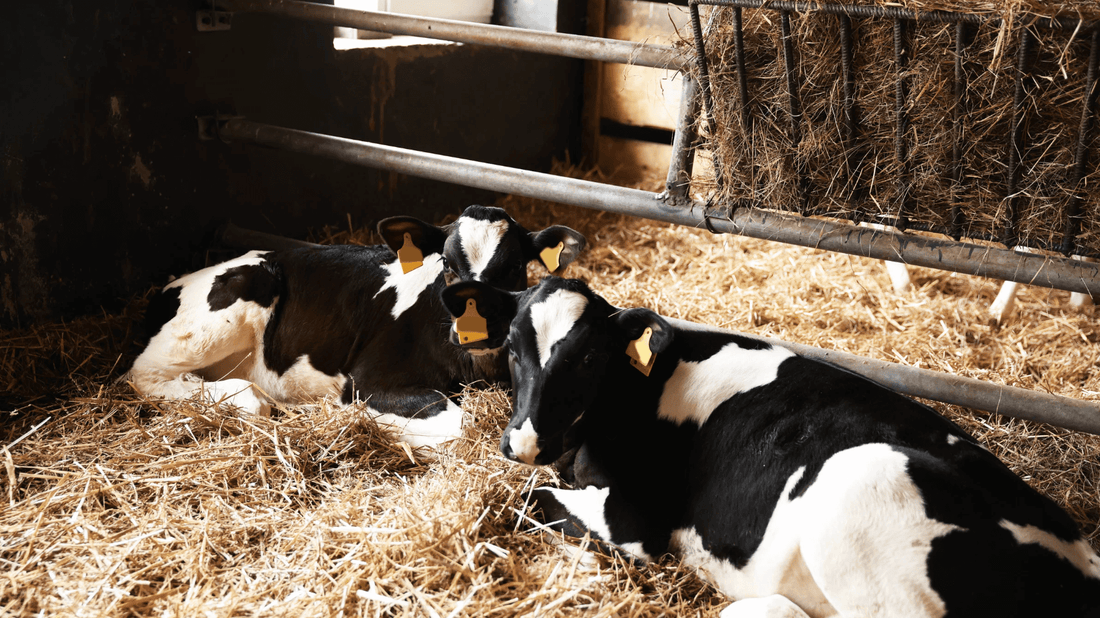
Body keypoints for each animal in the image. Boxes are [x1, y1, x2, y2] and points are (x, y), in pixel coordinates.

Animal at [126, 205, 586, 448]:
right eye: (448, 265)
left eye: (512, 267)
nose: (473, 331)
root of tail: (172, 284)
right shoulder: (368, 380)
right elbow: (460, 424)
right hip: (238, 298)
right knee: (146, 374)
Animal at [441, 276, 1100, 617]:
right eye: (513, 348)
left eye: (586, 358)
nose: (525, 440)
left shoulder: (633, 520)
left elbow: (528, 500)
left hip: (861, 484)